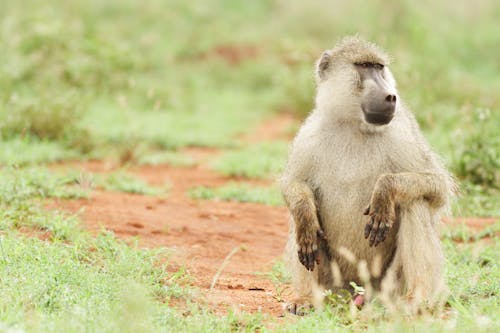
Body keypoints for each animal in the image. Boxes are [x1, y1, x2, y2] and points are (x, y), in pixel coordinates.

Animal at [280, 36, 456, 314]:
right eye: (363, 66)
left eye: (379, 67)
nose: (390, 96)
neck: (354, 124)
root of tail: (359, 290)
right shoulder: (309, 133)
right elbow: (293, 185)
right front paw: (305, 215)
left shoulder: (401, 130)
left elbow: (437, 187)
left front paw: (384, 193)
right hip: (333, 284)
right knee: (300, 228)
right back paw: (306, 298)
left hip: (389, 284)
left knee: (414, 202)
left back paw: (415, 299)